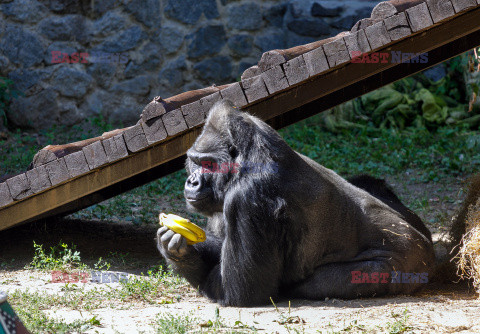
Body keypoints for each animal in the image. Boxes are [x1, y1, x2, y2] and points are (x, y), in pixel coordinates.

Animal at [158, 100, 436, 306]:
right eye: (194, 161)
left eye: (208, 164)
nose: (192, 182)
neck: (248, 158)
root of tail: (427, 247)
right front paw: (177, 247)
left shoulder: (247, 197)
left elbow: (243, 294)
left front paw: (185, 259)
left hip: (407, 266)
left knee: (319, 284)